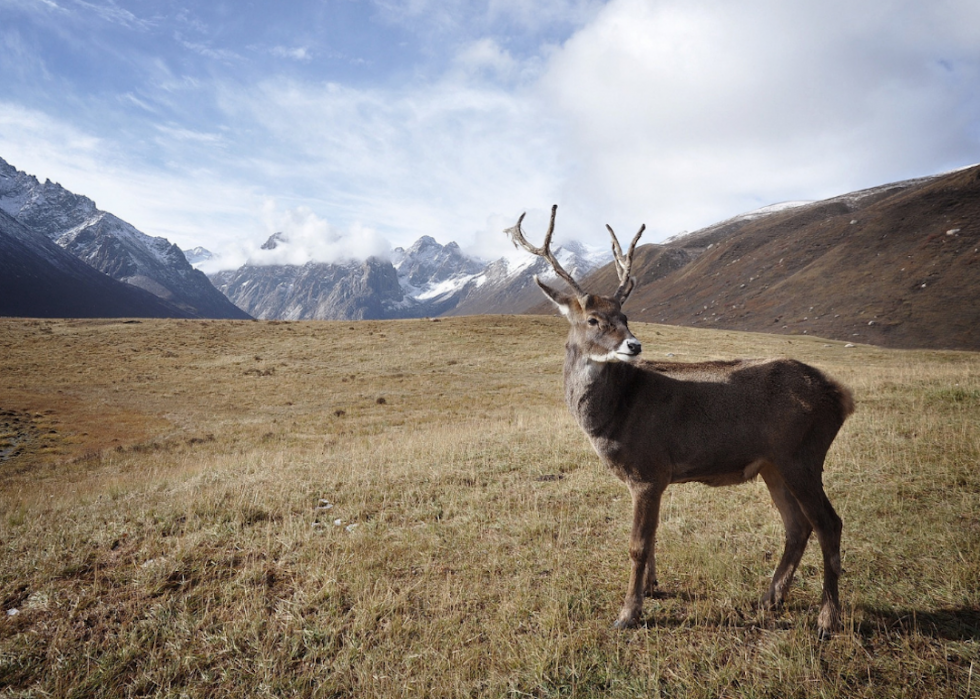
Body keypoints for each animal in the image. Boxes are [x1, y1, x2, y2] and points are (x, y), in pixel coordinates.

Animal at [510, 205, 852, 636]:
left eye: (625, 314)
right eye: (592, 320)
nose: (634, 344)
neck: (614, 415)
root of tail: (842, 396)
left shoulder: (648, 468)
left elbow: (638, 545)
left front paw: (628, 613)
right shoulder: (650, 478)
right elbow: (652, 538)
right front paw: (651, 588)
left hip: (802, 454)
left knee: (829, 524)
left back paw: (828, 617)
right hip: (774, 464)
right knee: (797, 525)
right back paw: (770, 598)